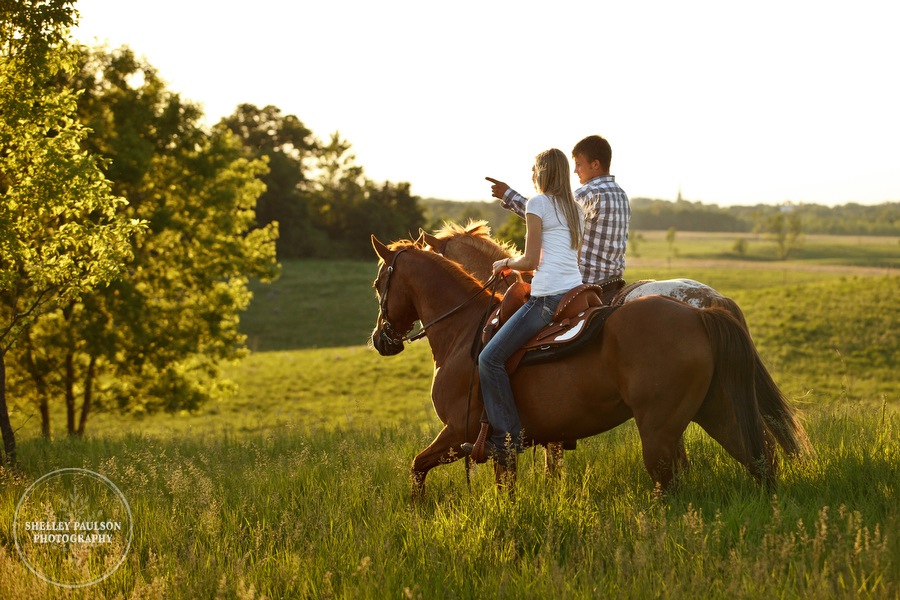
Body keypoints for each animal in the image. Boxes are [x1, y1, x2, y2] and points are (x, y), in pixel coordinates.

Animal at [370, 238, 812, 496]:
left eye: (378, 284)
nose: (381, 340)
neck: (468, 330)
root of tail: (702, 311)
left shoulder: (460, 432)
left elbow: (418, 466)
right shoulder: (509, 443)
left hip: (661, 428)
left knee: (676, 479)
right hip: (715, 409)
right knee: (760, 459)